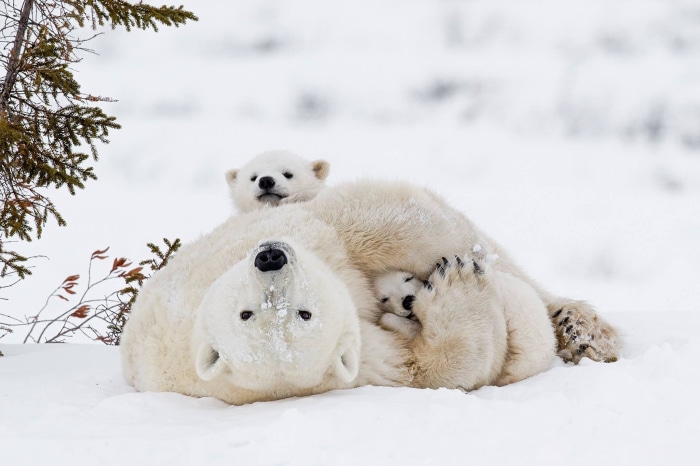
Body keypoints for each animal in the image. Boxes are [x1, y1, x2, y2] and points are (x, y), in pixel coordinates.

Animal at [120, 179, 621, 405]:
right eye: (249, 314)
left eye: (300, 312)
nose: (271, 258)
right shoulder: (363, 364)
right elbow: (433, 367)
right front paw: (455, 283)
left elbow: (379, 223)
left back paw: (582, 330)